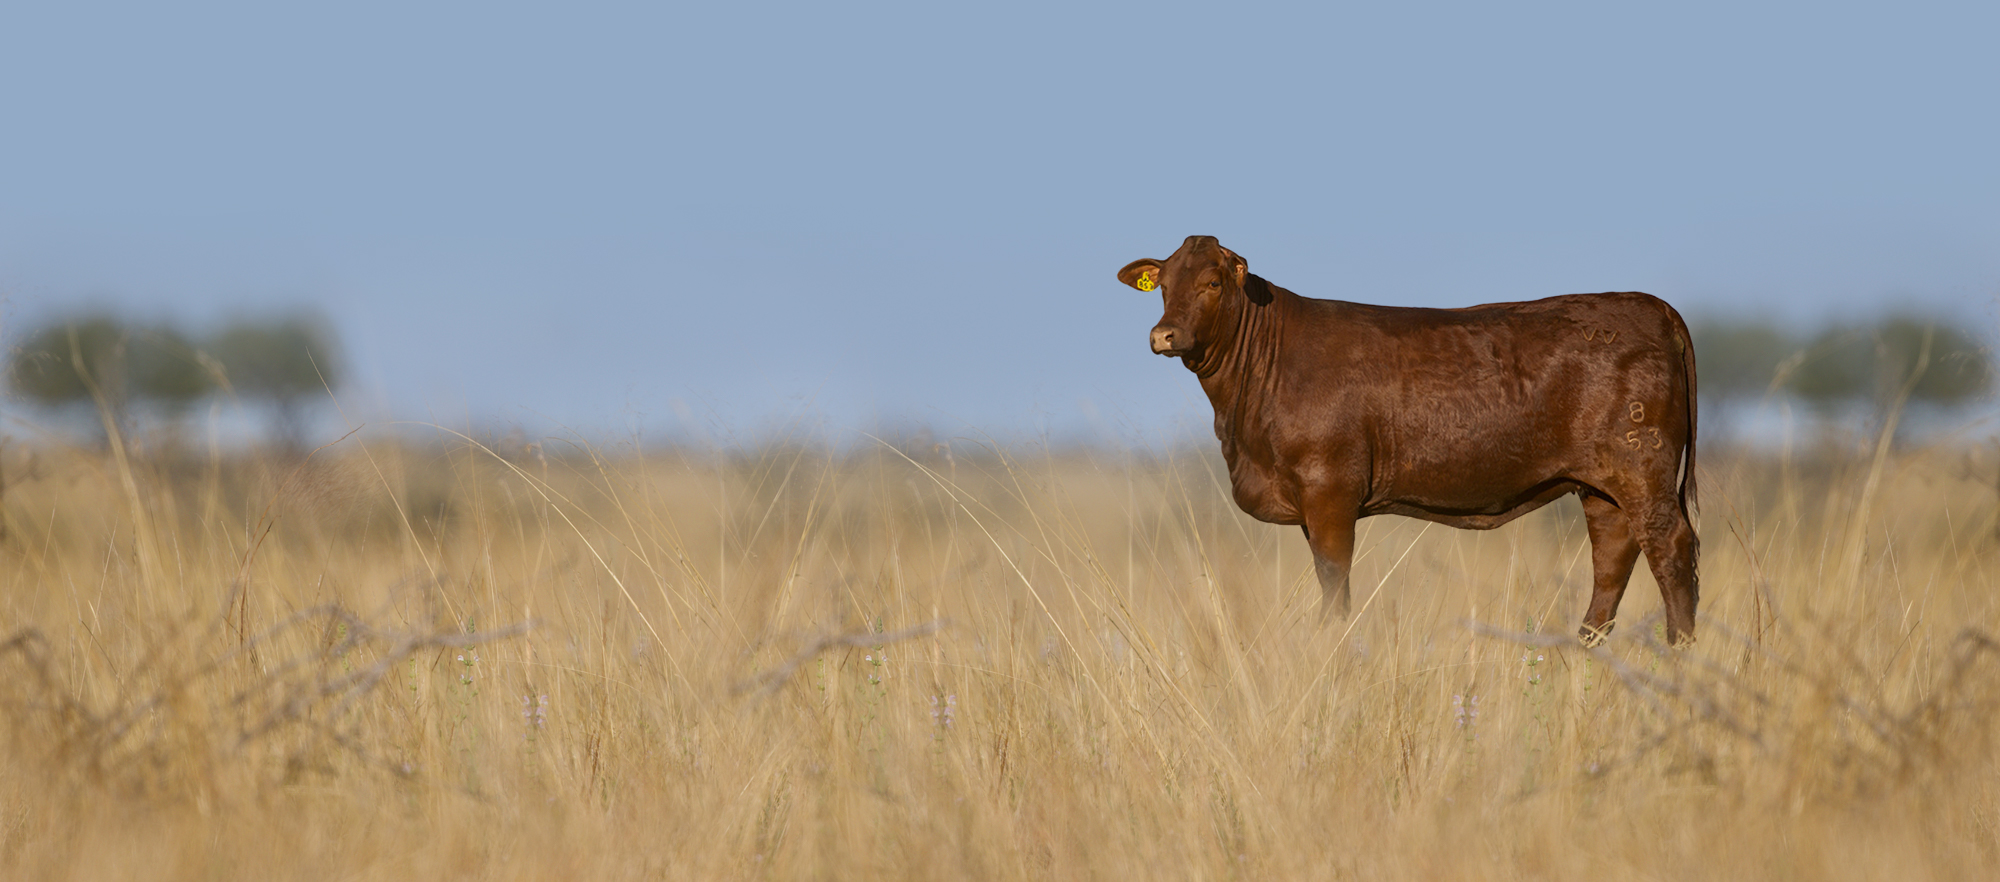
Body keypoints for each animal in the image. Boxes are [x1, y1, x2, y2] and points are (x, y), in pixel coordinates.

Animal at [1118, 236, 1699, 646]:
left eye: (1213, 282)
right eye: (1163, 283)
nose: (1163, 335)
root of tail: (1647, 304)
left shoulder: (1330, 489)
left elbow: (1335, 587)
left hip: (1641, 466)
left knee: (1670, 550)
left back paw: (1680, 654)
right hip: (1600, 486)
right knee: (1613, 560)